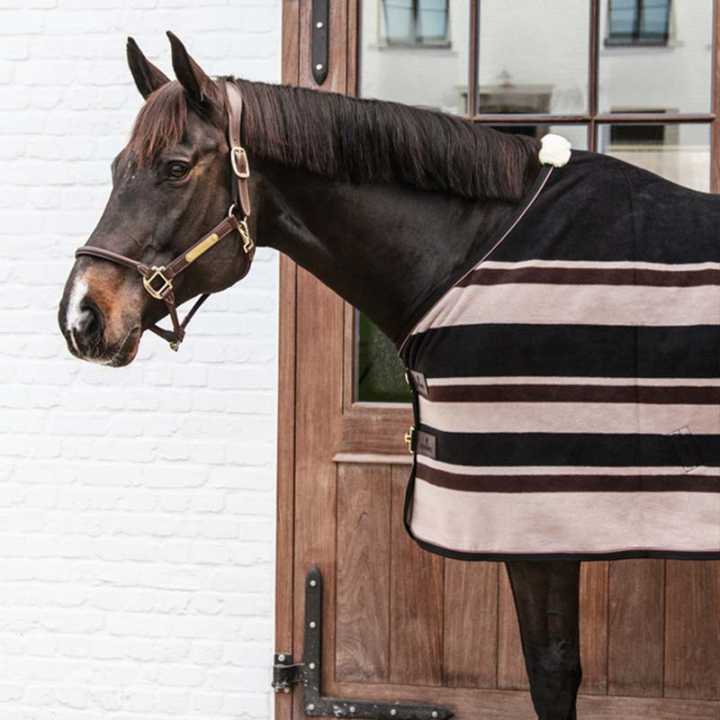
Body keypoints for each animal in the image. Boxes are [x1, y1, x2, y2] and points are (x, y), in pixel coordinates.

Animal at [59, 33, 714, 720]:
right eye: (116, 168)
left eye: (176, 169)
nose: (81, 315)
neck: (471, 250)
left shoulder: (539, 522)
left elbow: (553, 672)